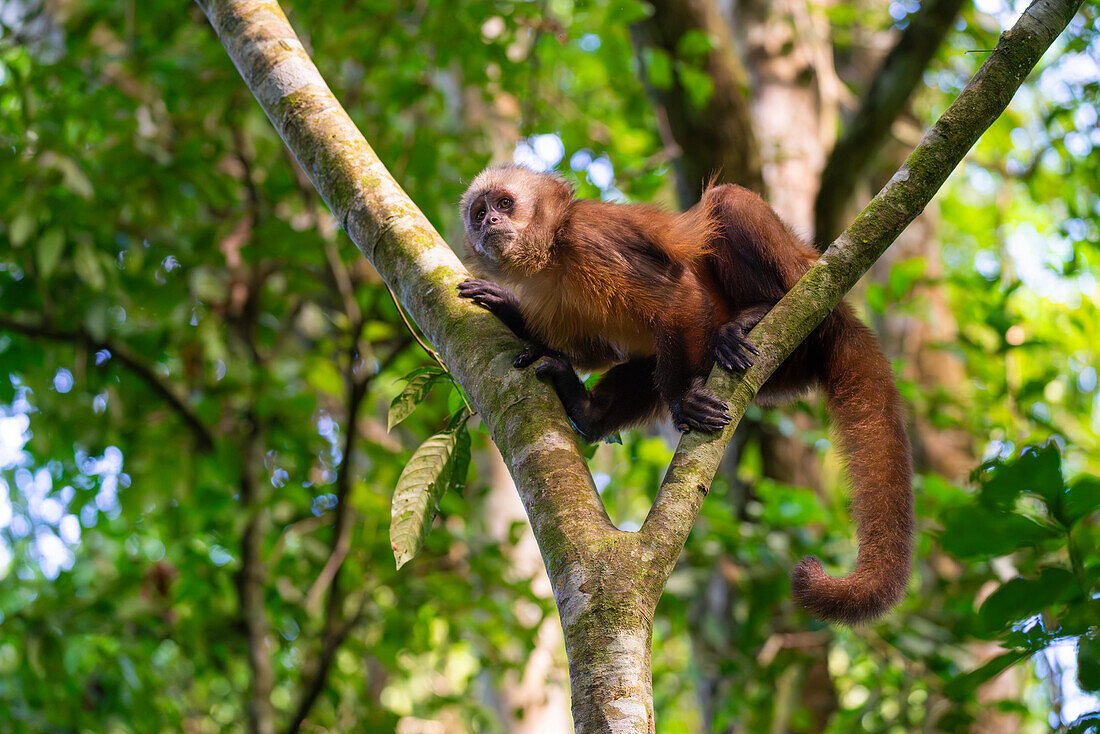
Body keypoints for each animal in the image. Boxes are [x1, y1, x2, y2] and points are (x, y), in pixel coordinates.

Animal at [455, 163, 910, 625]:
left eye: (505, 203)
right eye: (480, 213)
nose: (490, 222)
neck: (551, 254)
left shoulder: (589, 239)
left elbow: (677, 299)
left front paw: (682, 402)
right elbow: (596, 351)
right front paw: (508, 308)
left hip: (803, 299)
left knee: (729, 203)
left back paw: (760, 310)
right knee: (648, 360)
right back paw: (587, 412)